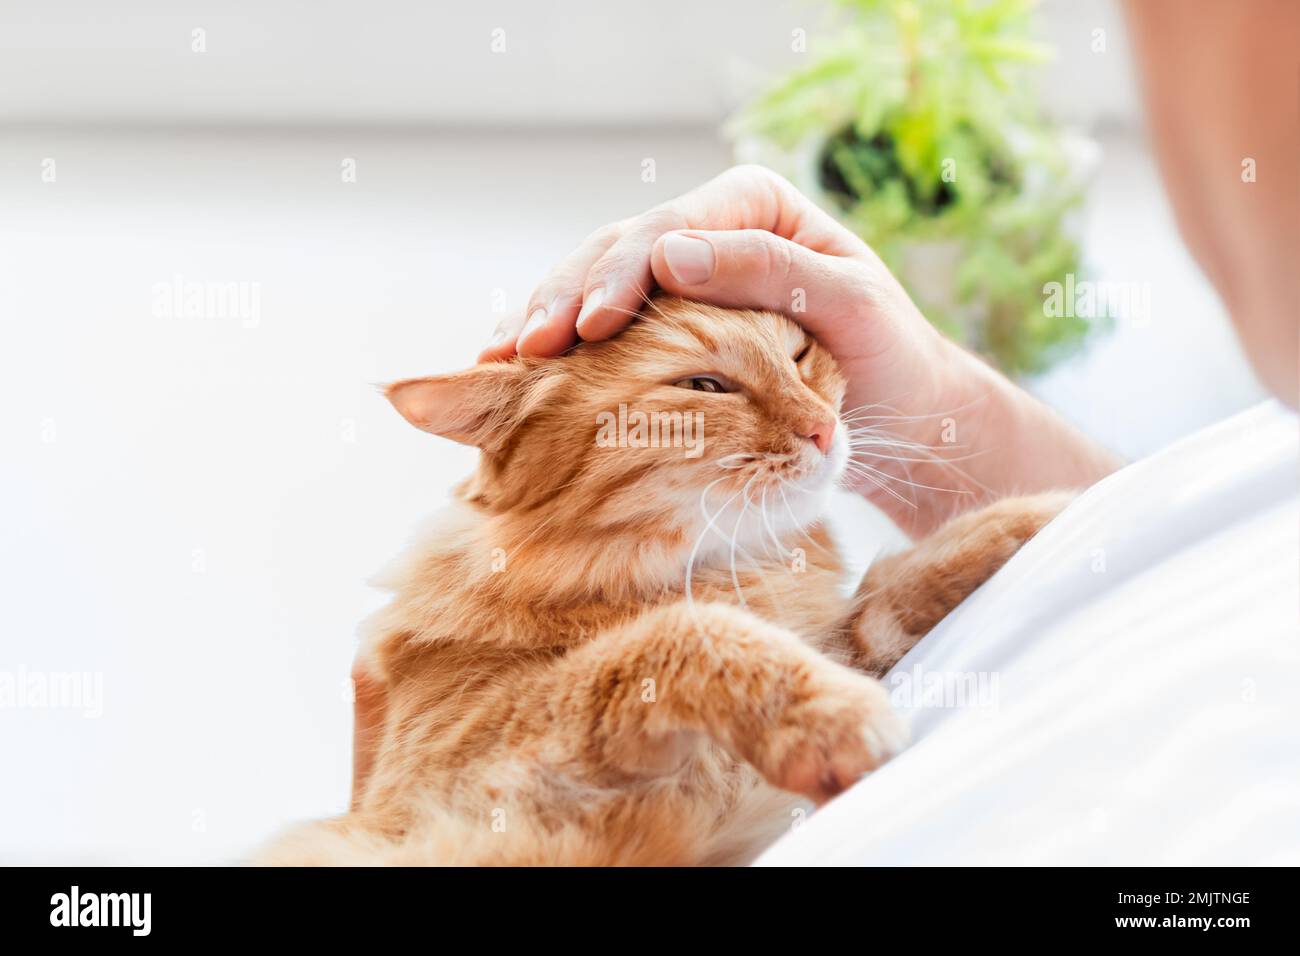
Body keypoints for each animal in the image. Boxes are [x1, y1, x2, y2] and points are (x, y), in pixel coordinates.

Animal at [253, 297, 1066, 868]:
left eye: (800, 353)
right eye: (706, 385)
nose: (824, 428)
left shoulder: (838, 627)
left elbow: (892, 591)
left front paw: (1045, 513)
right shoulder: (465, 785)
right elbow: (676, 638)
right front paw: (832, 718)